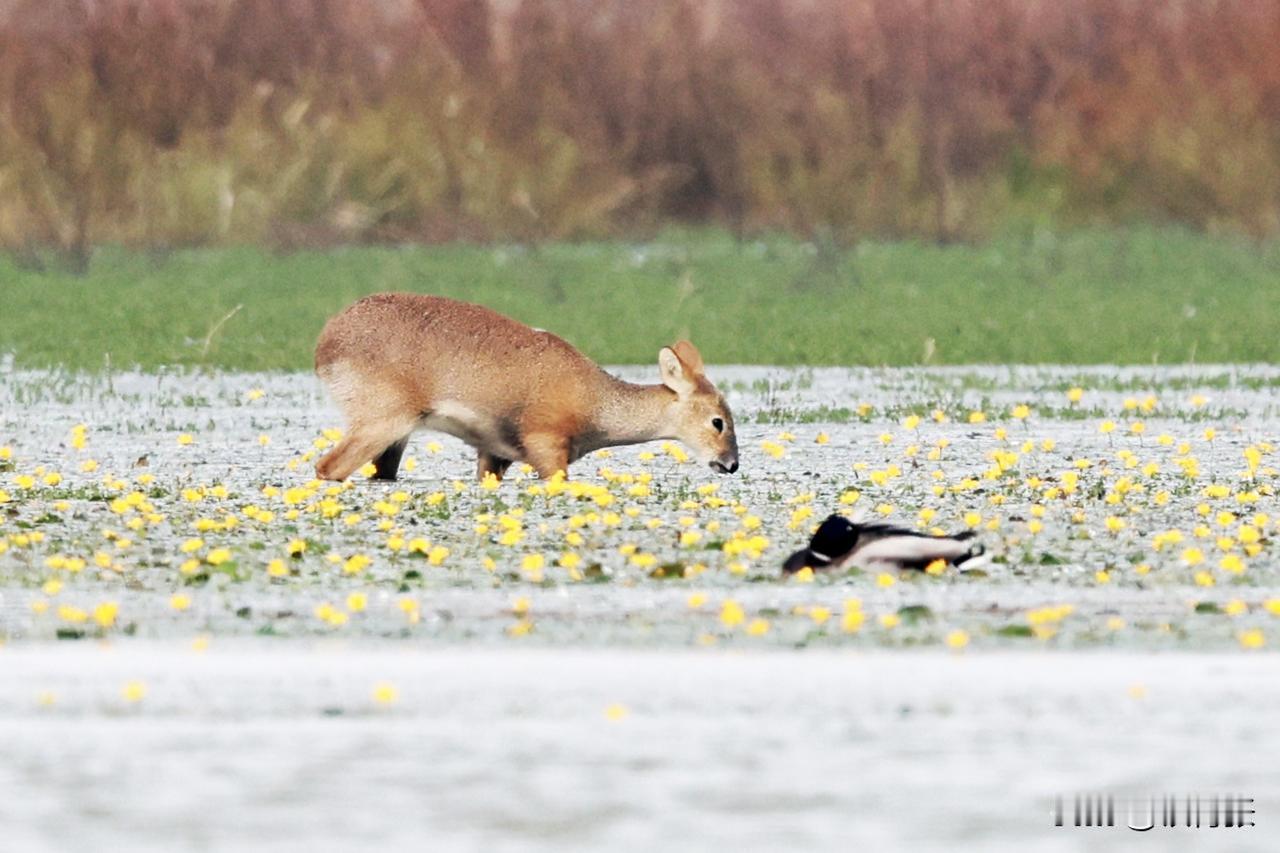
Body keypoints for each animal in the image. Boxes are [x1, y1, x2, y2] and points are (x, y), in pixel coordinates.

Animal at [313, 293, 739, 483]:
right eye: (718, 421)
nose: (731, 463)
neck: (597, 404)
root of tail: (325, 343)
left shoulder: (494, 454)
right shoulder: (546, 447)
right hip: (381, 421)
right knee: (327, 467)